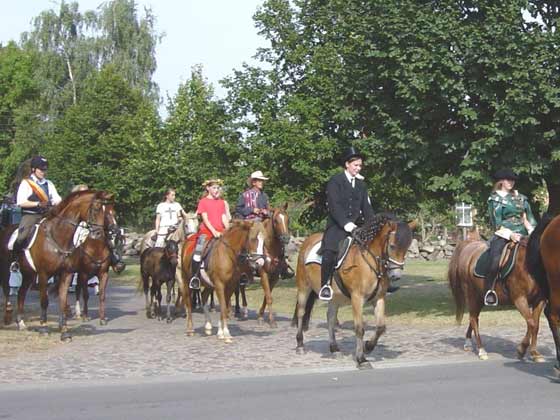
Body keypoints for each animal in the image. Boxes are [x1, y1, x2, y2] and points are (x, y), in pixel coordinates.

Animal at [0, 190, 115, 342]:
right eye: (96, 209)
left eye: (109, 211)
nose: (98, 233)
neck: (58, 236)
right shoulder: (44, 275)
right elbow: (44, 301)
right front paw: (44, 328)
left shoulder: (66, 274)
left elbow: (63, 299)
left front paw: (64, 331)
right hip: (7, 271)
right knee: (8, 291)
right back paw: (8, 315)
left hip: (29, 274)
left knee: (21, 294)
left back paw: (21, 323)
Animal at [294, 213, 412, 368]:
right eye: (392, 246)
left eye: (407, 247)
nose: (396, 276)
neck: (370, 259)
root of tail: (308, 240)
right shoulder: (357, 298)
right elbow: (359, 328)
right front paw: (361, 359)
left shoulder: (379, 298)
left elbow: (381, 327)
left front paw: (368, 347)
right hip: (304, 287)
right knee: (301, 313)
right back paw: (300, 345)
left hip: (335, 297)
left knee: (330, 317)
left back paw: (334, 348)